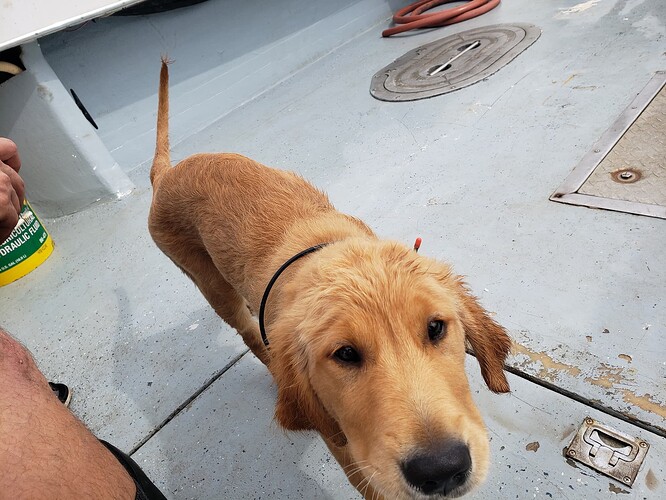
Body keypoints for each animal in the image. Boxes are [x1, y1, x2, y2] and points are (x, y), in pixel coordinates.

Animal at [149, 60, 508, 498]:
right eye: (345, 354)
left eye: (436, 328)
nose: (442, 469)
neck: (334, 255)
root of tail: (166, 174)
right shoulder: (346, 448)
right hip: (212, 286)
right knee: (249, 333)